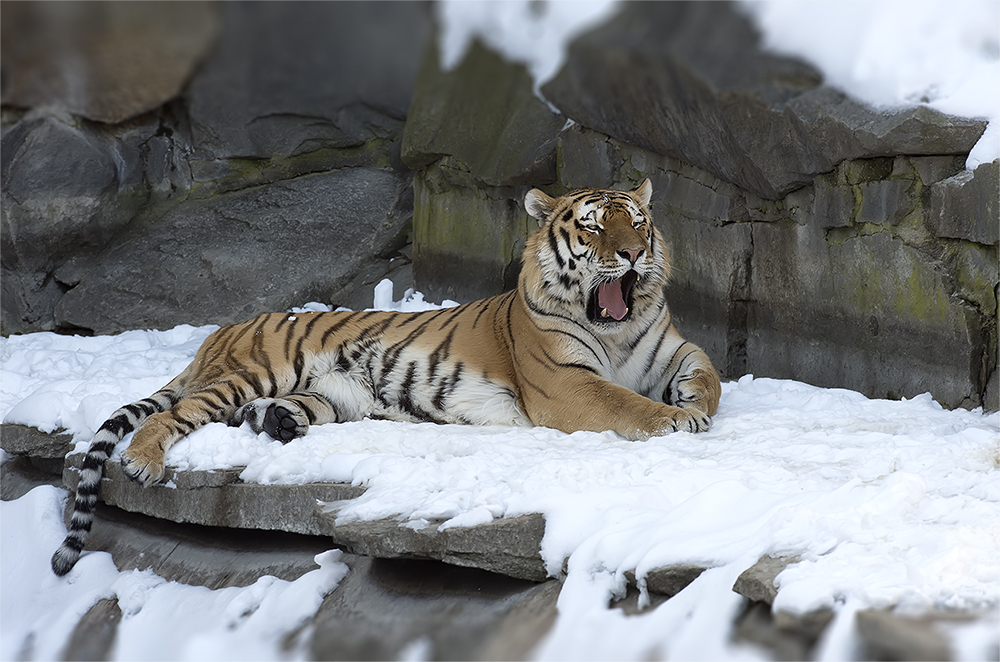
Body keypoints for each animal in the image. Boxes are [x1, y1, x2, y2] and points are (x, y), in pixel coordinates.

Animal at [50, 180, 720, 576]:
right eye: (593, 227)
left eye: (638, 223)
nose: (633, 254)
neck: (616, 327)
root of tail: (220, 332)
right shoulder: (566, 385)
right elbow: (625, 403)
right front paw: (675, 418)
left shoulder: (671, 348)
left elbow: (709, 373)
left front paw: (694, 400)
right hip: (255, 371)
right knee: (174, 413)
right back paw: (144, 461)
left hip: (332, 394)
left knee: (271, 411)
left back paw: (276, 423)